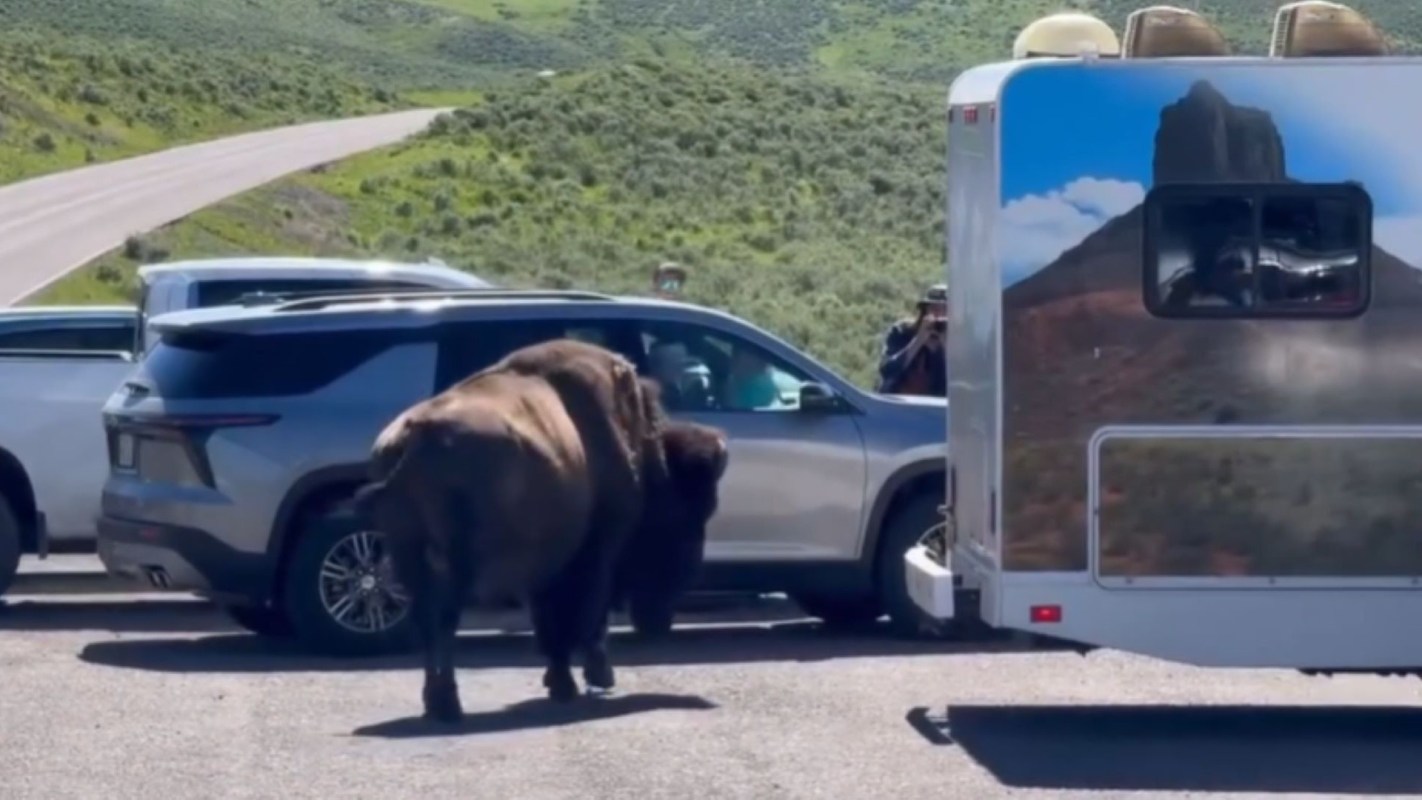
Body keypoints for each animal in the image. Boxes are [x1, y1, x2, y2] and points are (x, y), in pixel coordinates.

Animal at [354, 338, 728, 727]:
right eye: (687, 515)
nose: (661, 613)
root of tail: (414, 438)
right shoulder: (595, 551)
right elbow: (582, 616)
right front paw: (581, 679)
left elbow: (550, 620)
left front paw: (562, 680)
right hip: (454, 563)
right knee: (443, 622)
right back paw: (448, 705)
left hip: (410, 555)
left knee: (428, 623)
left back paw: (435, 703)